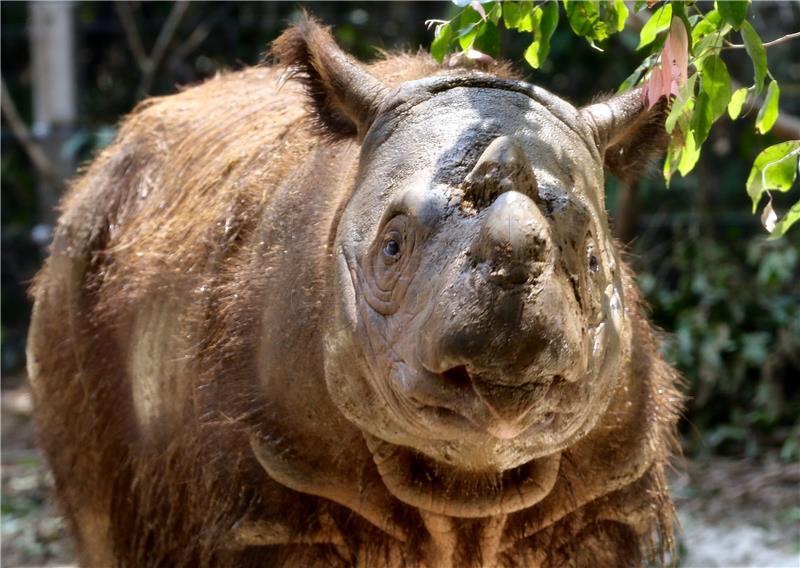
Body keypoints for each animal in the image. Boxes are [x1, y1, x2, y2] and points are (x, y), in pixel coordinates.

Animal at [29, 16, 680, 568]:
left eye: (593, 259)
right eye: (391, 247)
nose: (509, 356)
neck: (471, 485)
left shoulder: (605, 495)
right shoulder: (270, 505)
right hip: (76, 261)